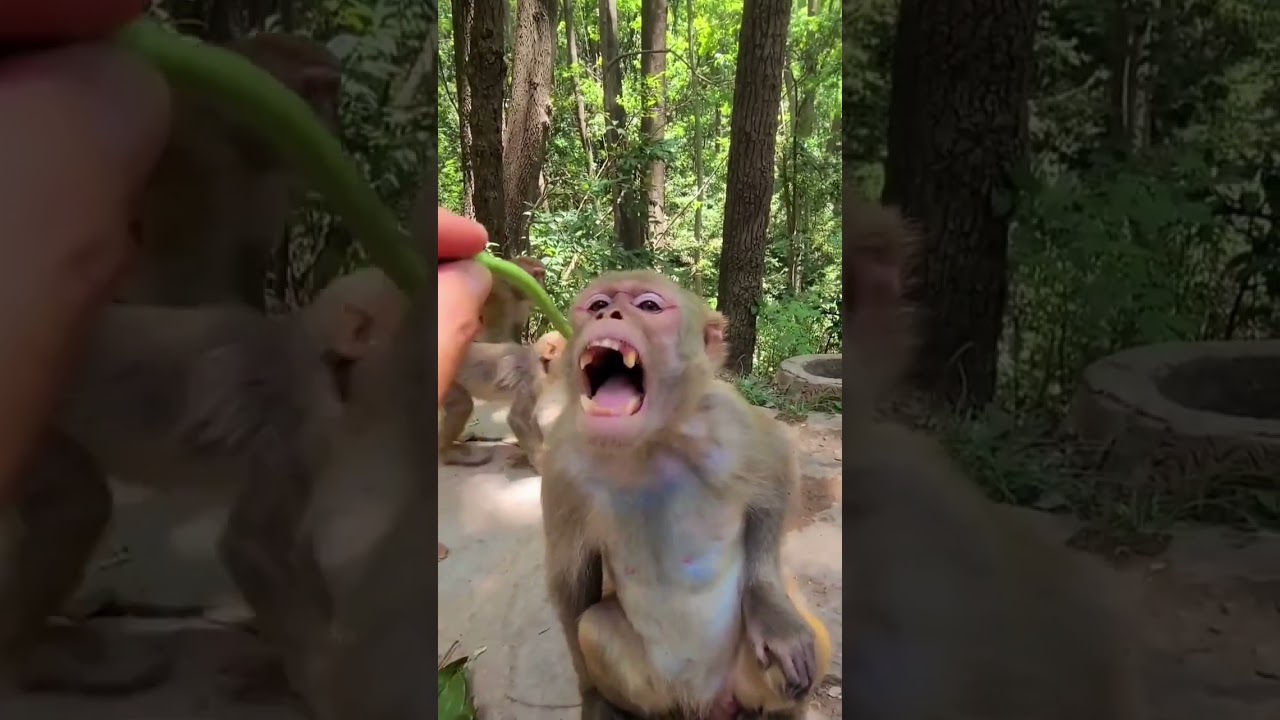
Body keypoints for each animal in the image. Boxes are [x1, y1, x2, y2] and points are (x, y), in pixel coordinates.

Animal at [538, 270, 832, 719]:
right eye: (597, 305)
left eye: (648, 307)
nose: (608, 314)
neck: (651, 442)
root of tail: (706, 703)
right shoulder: (562, 461)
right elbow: (572, 582)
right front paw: (593, 697)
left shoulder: (728, 419)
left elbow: (777, 470)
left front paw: (770, 608)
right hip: (664, 690)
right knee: (595, 629)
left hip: (742, 678)